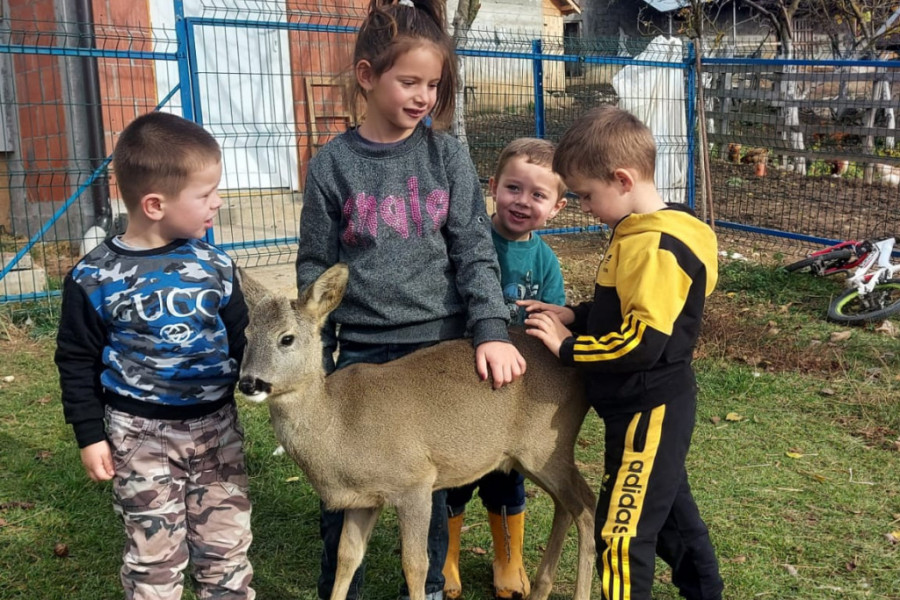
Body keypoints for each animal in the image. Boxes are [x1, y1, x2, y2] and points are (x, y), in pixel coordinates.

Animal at [236, 264, 596, 600]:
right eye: (247, 334)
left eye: (286, 338)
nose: (248, 383)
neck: (340, 426)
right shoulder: (363, 498)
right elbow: (347, 556)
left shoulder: (415, 481)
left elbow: (415, 564)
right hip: (531, 455)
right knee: (566, 505)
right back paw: (540, 588)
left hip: (548, 444)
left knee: (586, 503)